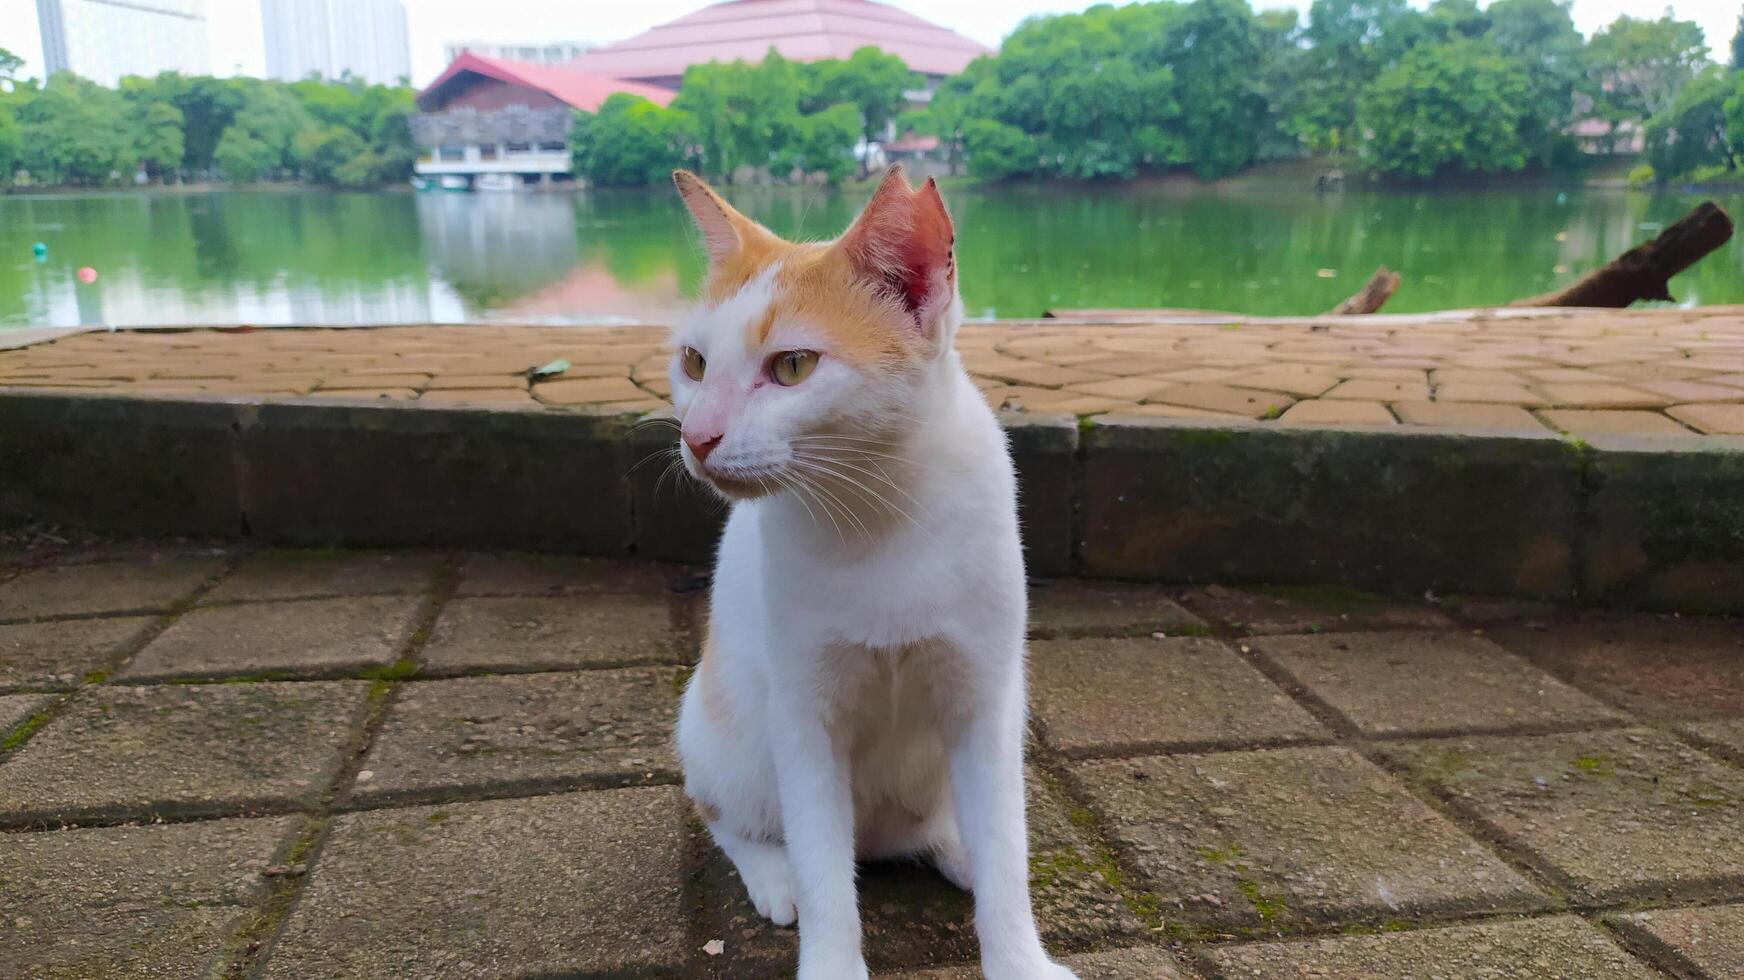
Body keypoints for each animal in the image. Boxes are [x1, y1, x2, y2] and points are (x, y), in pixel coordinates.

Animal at [669, 167, 1067, 976]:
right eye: (694, 363)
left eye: (792, 367)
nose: (697, 437)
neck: (878, 514)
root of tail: (880, 840)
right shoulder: (804, 716)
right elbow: (824, 869)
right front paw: (830, 955)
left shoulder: (985, 701)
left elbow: (1007, 846)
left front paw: (1017, 955)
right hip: (720, 734)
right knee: (731, 819)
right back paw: (775, 874)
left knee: (959, 832)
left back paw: (957, 852)